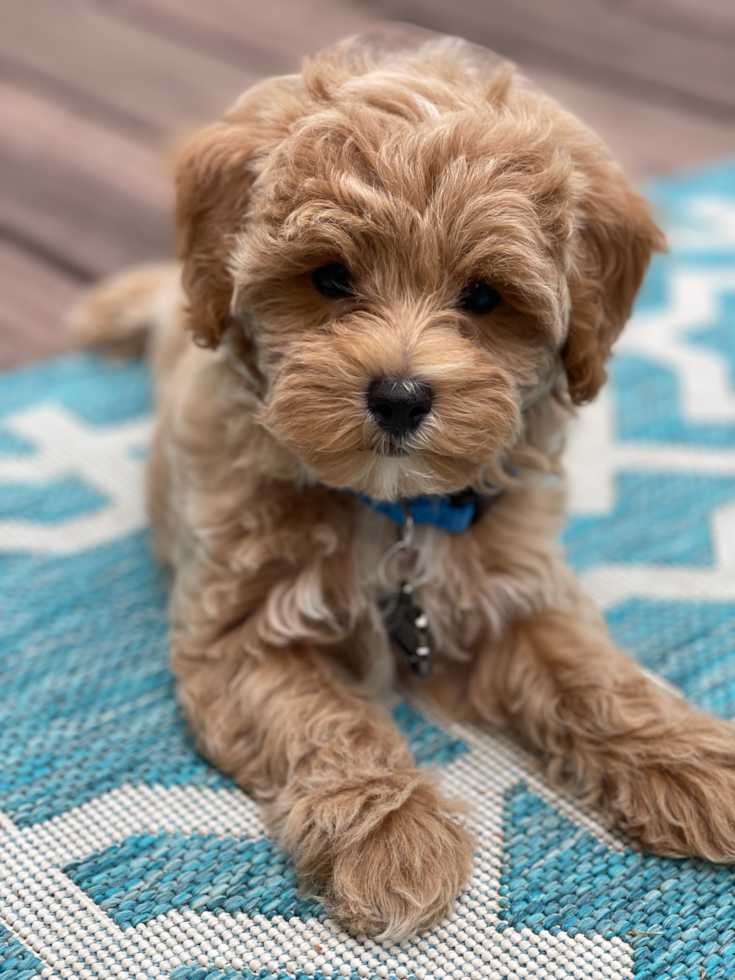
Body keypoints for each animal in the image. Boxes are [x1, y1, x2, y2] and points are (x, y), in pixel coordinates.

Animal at [69, 24, 735, 940]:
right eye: (329, 278)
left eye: (483, 297)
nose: (398, 395)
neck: (395, 508)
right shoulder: (241, 639)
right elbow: (326, 722)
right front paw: (393, 837)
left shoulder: (518, 588)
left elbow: (590, 676)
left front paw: (688, 759)